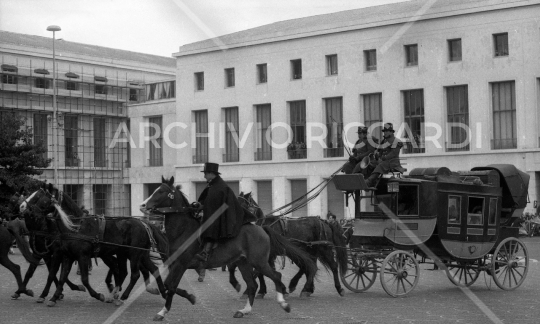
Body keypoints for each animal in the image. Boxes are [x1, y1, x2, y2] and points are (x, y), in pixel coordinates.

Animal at [140, 176, 316, 320]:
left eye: (161, 191)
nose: (143, 205)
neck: (183, 230)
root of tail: (261, 228)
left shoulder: (181, 264)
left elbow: (170, 285)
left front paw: (173, 306)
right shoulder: (174, 264)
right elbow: (170, 286)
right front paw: (177, 304)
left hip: (259, 262)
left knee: (276, 276)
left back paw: (284, 304)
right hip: (244, 263)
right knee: (252, 285)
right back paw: (244, 311)